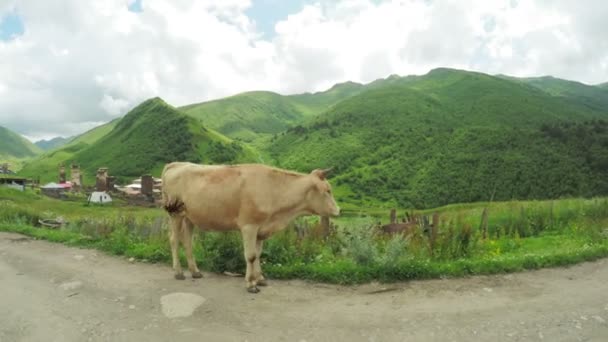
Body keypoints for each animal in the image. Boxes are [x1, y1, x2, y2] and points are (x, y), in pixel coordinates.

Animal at [160, 162, 342, 292]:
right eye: (328, 190)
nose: (338, 210)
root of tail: (176, 164)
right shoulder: (249, 226)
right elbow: (251, 256)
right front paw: (250, 284)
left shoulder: (262, 228)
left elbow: (259, 254)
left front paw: (260, 279)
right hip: (175, 214)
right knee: (174, 240)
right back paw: (178, 272)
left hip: (189, 217)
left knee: (187, 242)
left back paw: (195, 271)